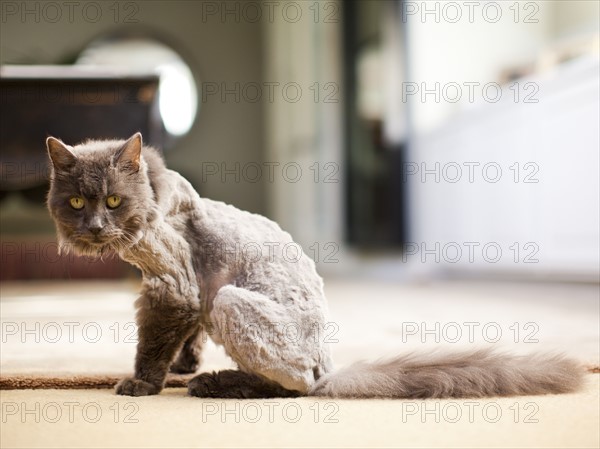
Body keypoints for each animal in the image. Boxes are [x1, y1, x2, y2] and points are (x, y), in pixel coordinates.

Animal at [47, 132, 584, 396]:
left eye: (112, 201)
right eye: (75, 203)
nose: (94, 227)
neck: (158, 197)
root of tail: (330, 368)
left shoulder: (173, 286)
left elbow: (153, 344)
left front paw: (144, 384)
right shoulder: (193, 291)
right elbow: (187, 336)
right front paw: (183, 364)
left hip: (231, 300)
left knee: (297, 386)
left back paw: (213, 385)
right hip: (223, 299)